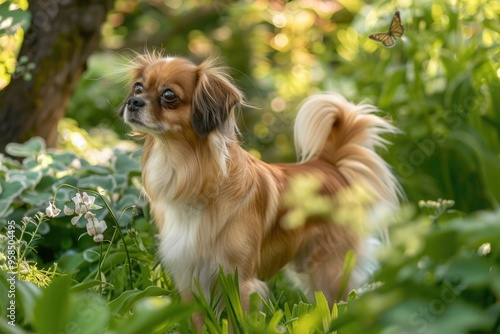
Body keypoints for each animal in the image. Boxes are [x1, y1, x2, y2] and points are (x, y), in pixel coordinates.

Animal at [120, 52, 402, 324]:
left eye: (169, 95)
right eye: (138, 88)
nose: (133, 102)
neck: (186, 170)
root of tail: (327, 165)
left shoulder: (239, 281)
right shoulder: (190, 278)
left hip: (330, 270)